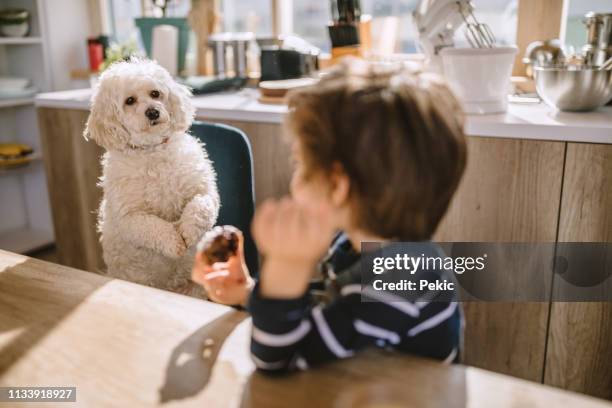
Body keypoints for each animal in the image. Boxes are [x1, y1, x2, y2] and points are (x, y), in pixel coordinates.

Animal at [83, 58, 220, 296]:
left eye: (155, 93)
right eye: (130, 101)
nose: (153, 112)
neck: (152, 150)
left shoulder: (205, 191)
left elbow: (200, 208)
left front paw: (188, 231)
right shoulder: (130, 218)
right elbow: (154, 228)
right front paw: (174, 242)